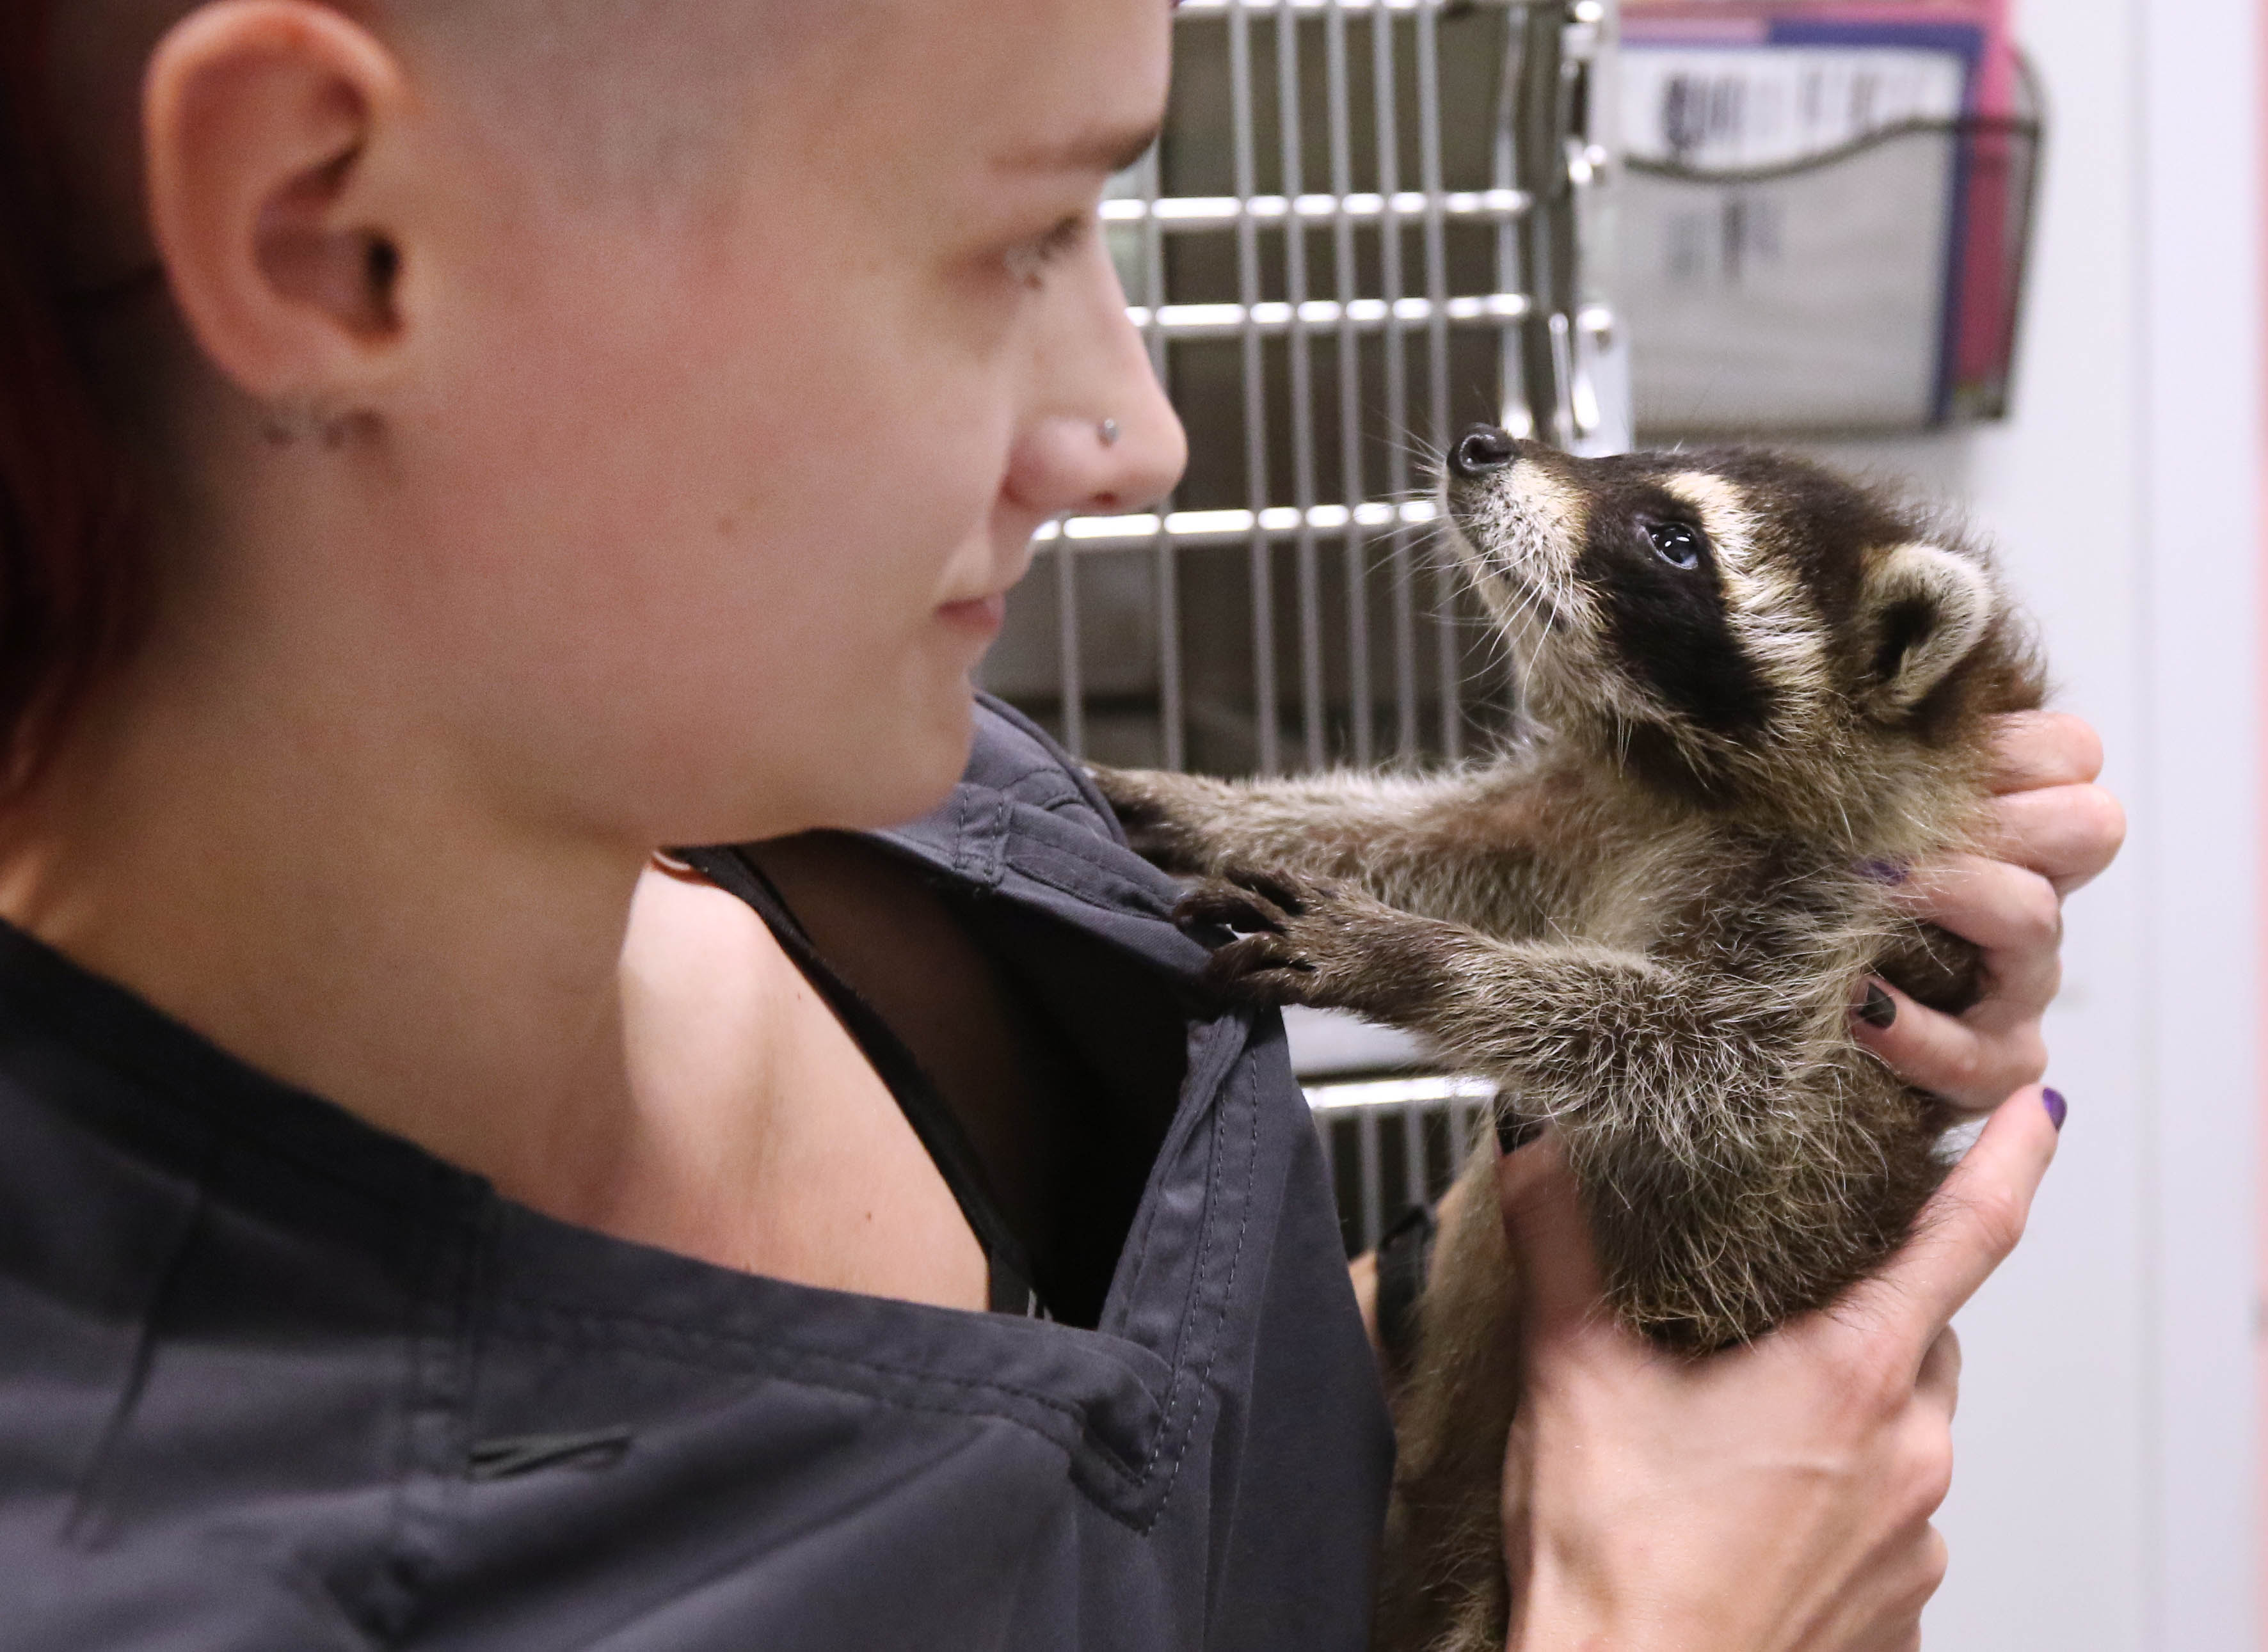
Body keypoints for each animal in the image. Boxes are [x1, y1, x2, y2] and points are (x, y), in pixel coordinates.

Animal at [1093, 429, 2045, 1652]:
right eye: (1627, 457)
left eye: (1674, 541)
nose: (1481, 444)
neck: (1667, 778)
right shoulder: (1577, 817)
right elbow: (1430, 843)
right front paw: (1209, 806)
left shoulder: (1833, 923)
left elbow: (1712, 1067)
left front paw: (1420, 959)